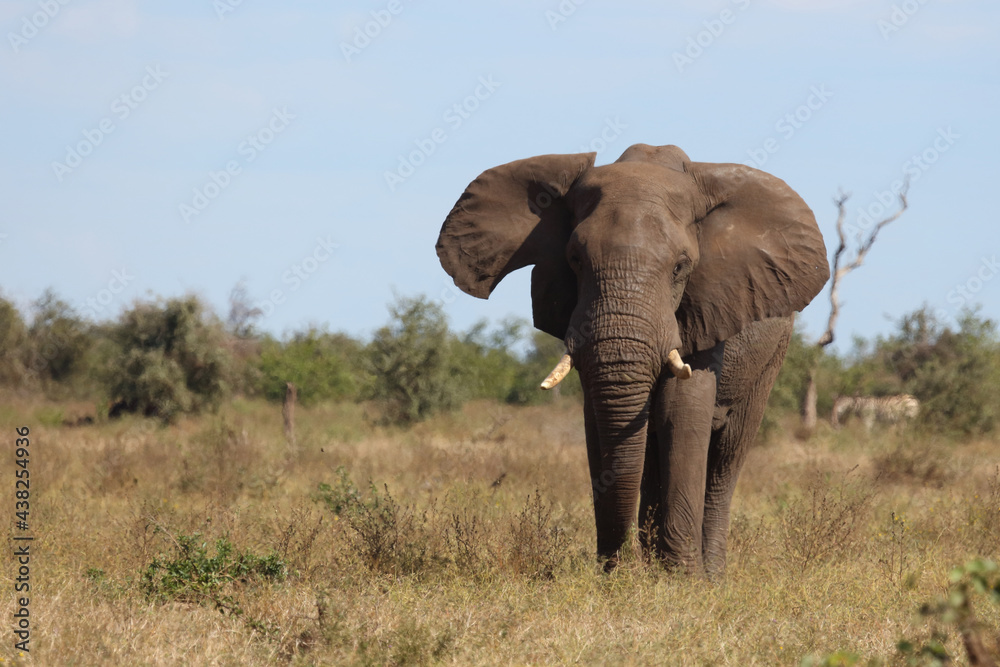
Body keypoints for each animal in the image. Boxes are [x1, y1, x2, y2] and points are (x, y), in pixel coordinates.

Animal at [434, 142, 824, 576]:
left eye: (681, 267)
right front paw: (624, 576)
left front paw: (682, 580)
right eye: (575, 259)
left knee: (727, 454)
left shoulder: (706, 306)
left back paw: (710, 576)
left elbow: (682, 411)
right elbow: (599, 422)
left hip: (773, 352)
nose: (620, 566)